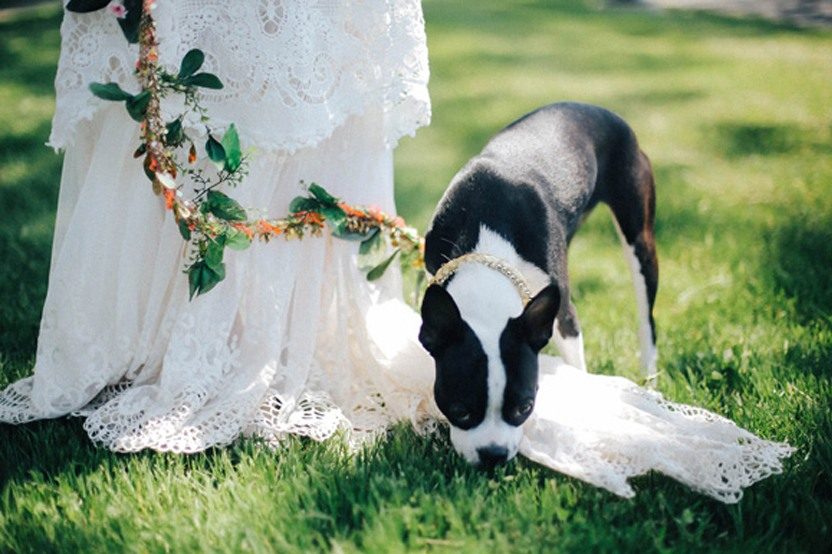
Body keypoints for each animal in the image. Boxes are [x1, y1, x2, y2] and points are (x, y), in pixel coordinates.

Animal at [420, 102, 660, 466]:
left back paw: (649, 378)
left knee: (647, 315)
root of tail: (598, 109)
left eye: (525, 407)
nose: (493, 455)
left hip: (639, 237)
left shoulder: (564, 318)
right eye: (460, 410)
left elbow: (576, 362)